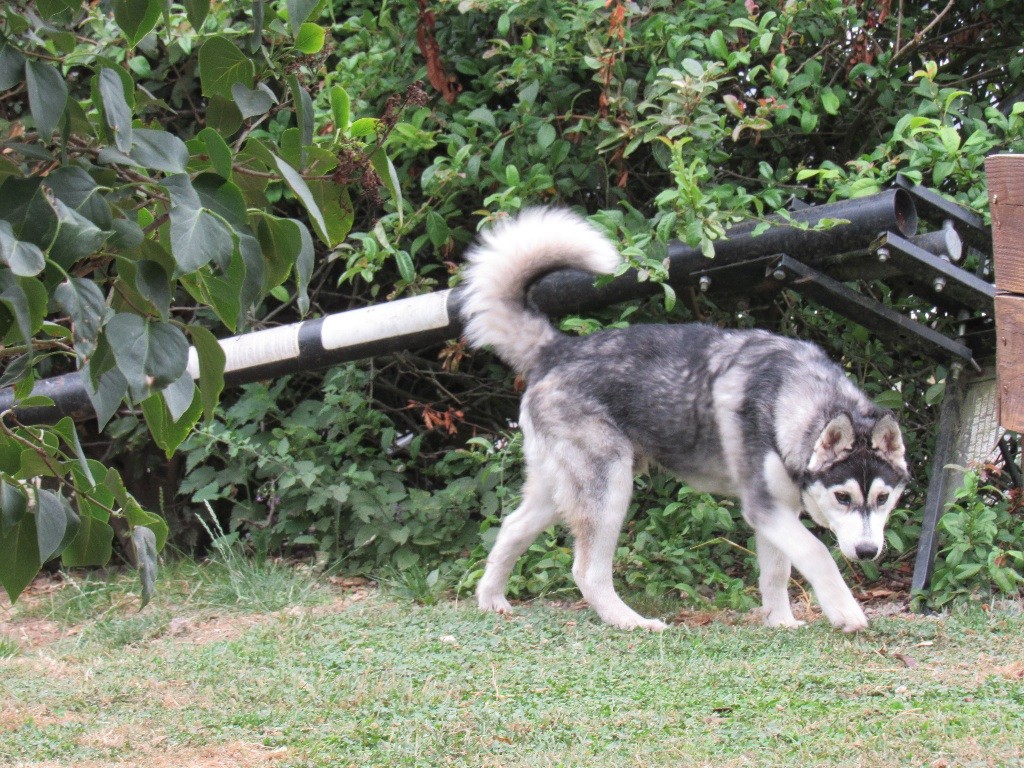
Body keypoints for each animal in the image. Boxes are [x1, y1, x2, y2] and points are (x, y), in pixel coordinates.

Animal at [460, 207, 909, 634]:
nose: (868, 552)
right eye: (843, 497)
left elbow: (777, 572)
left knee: (511, 528)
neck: (791, 395)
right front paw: (845, 613)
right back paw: (630, 622)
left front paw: (781, 621)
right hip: (609, 487)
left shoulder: (778, 511)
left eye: (883, 498)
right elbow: (817, 553)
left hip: (557, 490)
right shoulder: (763, 507)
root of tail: (557, 349)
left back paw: (491, 599)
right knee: (586, 570)